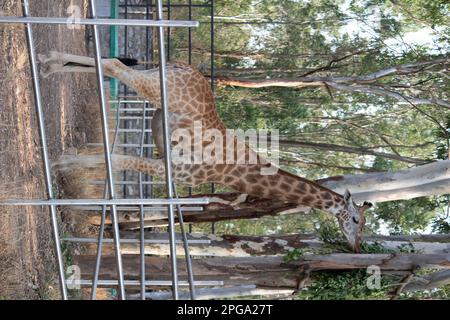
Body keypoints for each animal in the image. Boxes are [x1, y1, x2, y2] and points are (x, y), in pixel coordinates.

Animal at [37, 50, 372, 252]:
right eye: (356, 220)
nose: (357, 247)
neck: (235, 173)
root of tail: (180, 65)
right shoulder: (171, 168)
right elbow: (116, 160)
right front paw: (61, 163)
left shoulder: (166, 162)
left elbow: (115, 160)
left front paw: (68, 158)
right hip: (152, 86)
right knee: (114, 65)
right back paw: (49, 65)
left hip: (152, 77)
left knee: (107, 60)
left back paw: (49, 63)